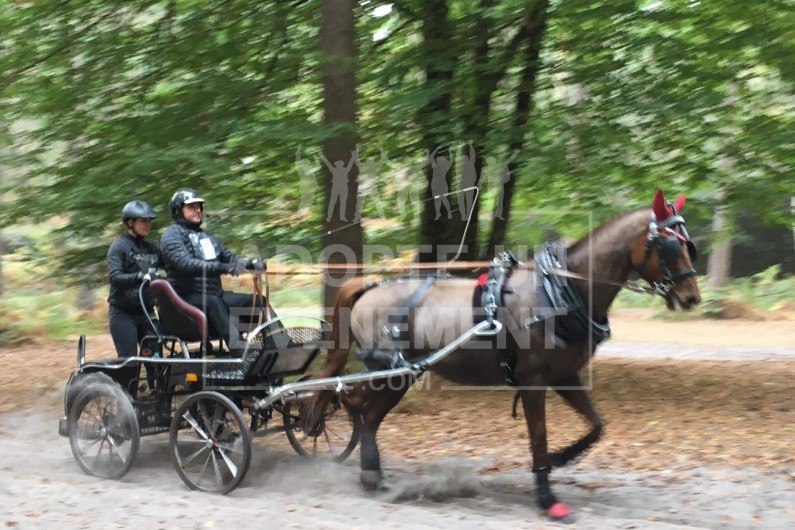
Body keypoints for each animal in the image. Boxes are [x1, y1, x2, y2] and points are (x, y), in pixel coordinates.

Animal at [304, 188, 704, 516]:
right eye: (669, 245)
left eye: (688, 244)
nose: (691, 298)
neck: (561, 292)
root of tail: (371, 286)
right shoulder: (533, 380)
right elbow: (539, 435)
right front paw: (547, 497)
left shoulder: (565, 376)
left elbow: (596, 426)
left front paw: (559, 459)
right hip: (390, 372)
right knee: (358, 407)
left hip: (399, 374)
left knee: (364, 413)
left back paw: (373, 475)